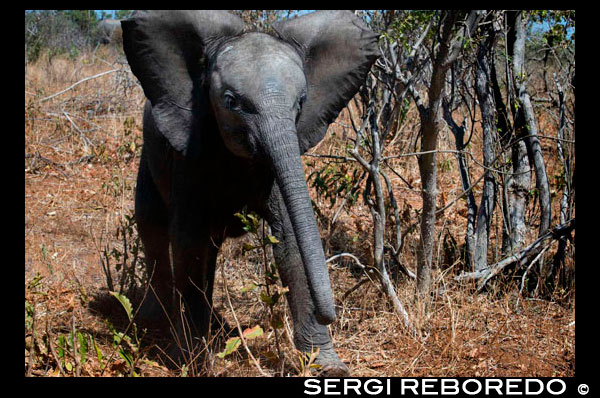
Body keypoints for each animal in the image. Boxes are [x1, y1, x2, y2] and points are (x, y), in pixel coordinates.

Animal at [119, 10, 378, 376]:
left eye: (301, 103)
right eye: (231, 102)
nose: (331, 313)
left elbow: (293, 244)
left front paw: (328, 367)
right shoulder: (189, 153)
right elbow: (187, 243)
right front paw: (194, 362)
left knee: (208, 247)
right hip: (150, 154)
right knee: (151, 226)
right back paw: (158, 320)